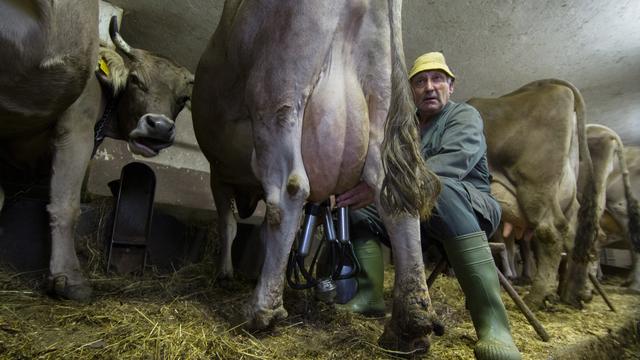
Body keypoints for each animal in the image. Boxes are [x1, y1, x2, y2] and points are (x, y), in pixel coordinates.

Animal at [1, 2, 194, 300]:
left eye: (183, 99)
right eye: (136, 80)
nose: (160, 127)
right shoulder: (77, 130)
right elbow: (66, 205)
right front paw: (68, 278)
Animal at [192, 0, 444, 352]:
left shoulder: (218, 172)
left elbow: (228, 224)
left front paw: (225, 273)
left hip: (278, 94)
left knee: (290, 190)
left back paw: (261, 311)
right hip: (381, 98)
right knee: (396, 200)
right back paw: (408, 327)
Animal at [464, 79, 600, 310]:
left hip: (537, 186)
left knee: (550, 233)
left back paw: (537, 297)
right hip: (566, 193)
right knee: (574, 236)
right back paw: (572, 293)